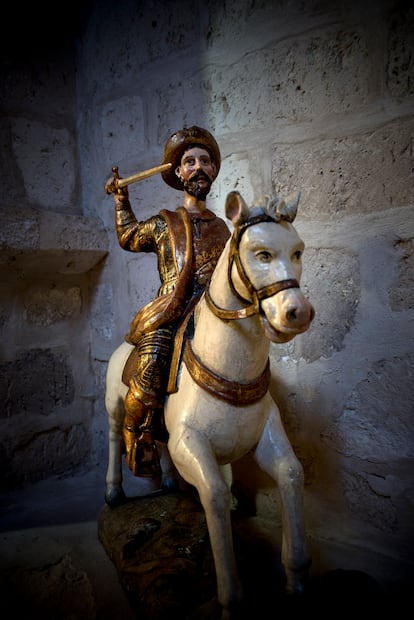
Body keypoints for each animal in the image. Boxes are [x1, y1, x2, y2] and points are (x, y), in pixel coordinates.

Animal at [103, 191, 314, 616]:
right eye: (261, 254)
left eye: (298, 251)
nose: (298, 313)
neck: (228, 365)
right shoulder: (191, 445)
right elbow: (214, 495)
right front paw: (231, 601)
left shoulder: (267, 439)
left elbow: (291, 473)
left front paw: (296, 583)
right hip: (115, 407)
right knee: (118, 436)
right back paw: (115, 491)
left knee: (156, 441)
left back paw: (168, 482)